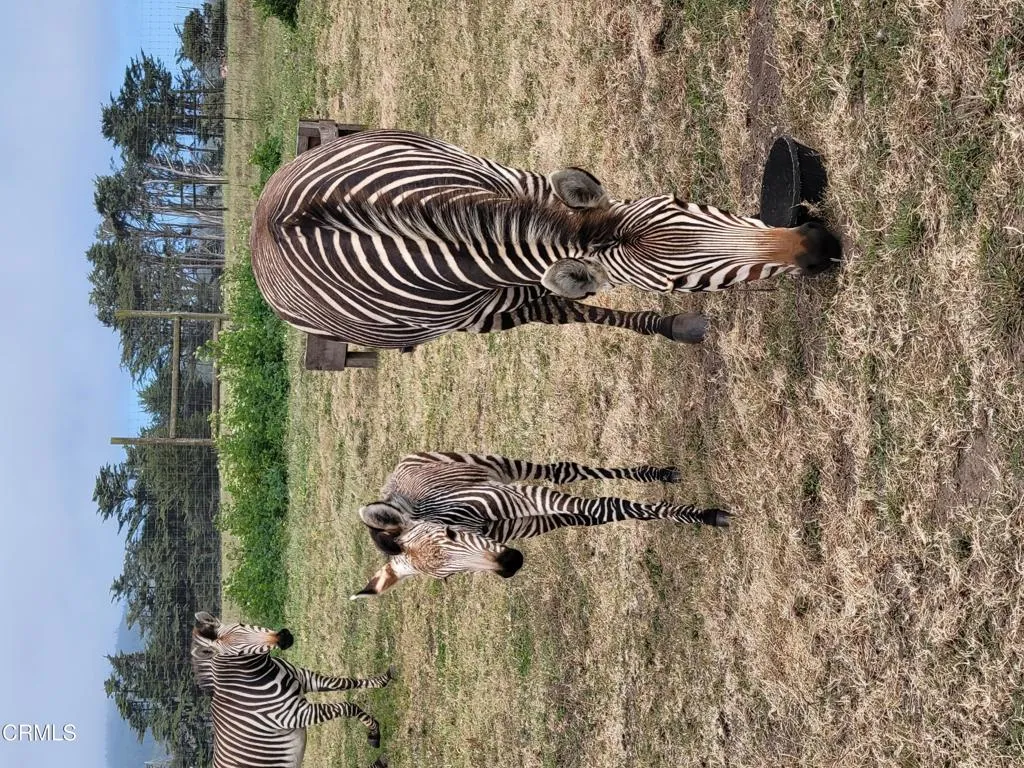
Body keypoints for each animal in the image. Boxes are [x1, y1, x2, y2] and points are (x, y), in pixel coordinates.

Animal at [190, 611, 393, 767]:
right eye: (238, 652)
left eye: (242, 624)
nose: (284, 637)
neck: (260, 673)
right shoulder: (293, 715)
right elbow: (348, 707)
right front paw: (374, 733)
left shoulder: (304, 678)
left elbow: (345, 683)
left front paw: (383, 680)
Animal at [250, 129, 840, 350]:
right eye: (678, 283)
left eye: (682, 202)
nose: (818, 246)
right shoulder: (503, 307)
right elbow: (578, 309)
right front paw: (676, 325)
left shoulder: (527, 187)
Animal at [349, 452, 730, 598]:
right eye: (450, 576)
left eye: (450, 533)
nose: (511, 563)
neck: (477, 522)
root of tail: (392, 478)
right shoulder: (525, 519)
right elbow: (603, 511)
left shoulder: (518, 495)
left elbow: (604, 503)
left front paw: (705, 516)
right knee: (586, 512)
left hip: (499, 467)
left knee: (563, 471)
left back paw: (655, 475)